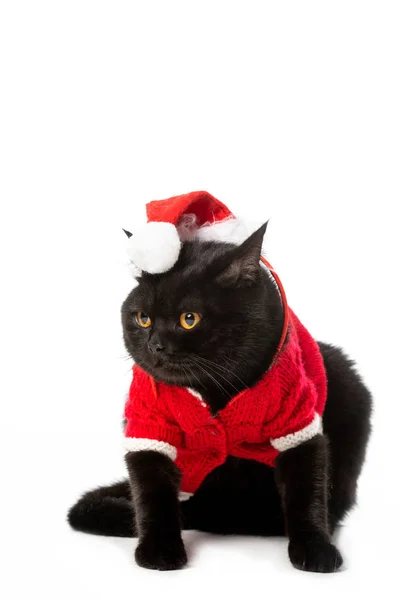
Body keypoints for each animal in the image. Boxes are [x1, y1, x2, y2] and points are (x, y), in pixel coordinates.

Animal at [68, 224, 372, 572]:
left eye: (189, 319)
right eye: (143, 318)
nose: (155, 344)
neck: (215, 388)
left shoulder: (297, 423)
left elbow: (306, 491)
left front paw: (315, 548)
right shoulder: (148, 423)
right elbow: (150, 492)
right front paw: (159, 550)